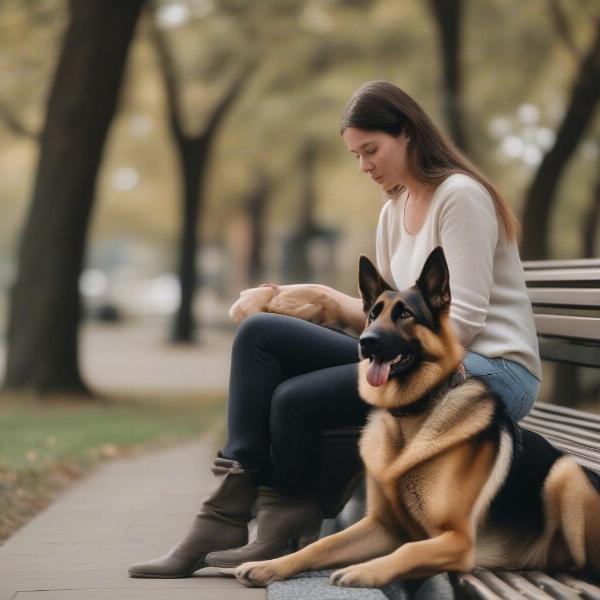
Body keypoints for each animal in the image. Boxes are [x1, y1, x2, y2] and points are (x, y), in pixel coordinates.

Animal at [233, 246, 600, 588]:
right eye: (373, 315)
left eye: (406, 314)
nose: (365, 343)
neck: (409, 419)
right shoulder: (382, 526)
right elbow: (321, 545)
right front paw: (270, 565)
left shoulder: (456, 540)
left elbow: (407, 550)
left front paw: (363, 571)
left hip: (565, 473)